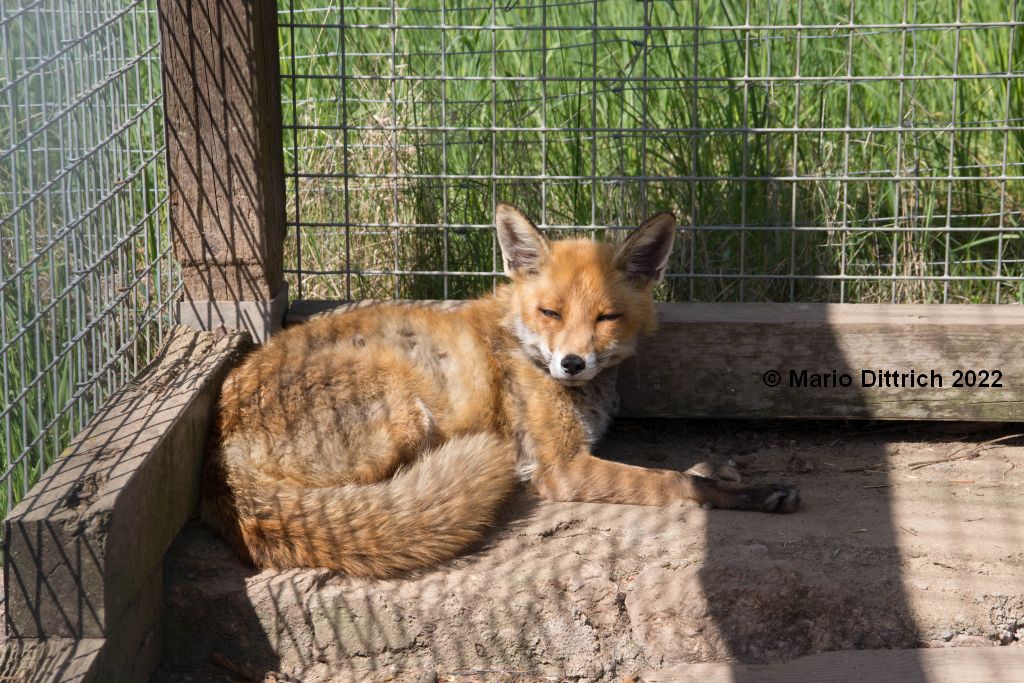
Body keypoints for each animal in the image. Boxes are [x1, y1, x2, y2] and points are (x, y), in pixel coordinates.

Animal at [201, 201, 798, 577]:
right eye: (550, 312)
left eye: (606, 317)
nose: (572, 363)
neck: (522, 346)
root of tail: (218, 456)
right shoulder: (564, 467)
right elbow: (669, 482)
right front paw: (745, 493)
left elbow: (680, 469)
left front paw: (717, 467)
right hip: (406, 409)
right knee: (379, 501)